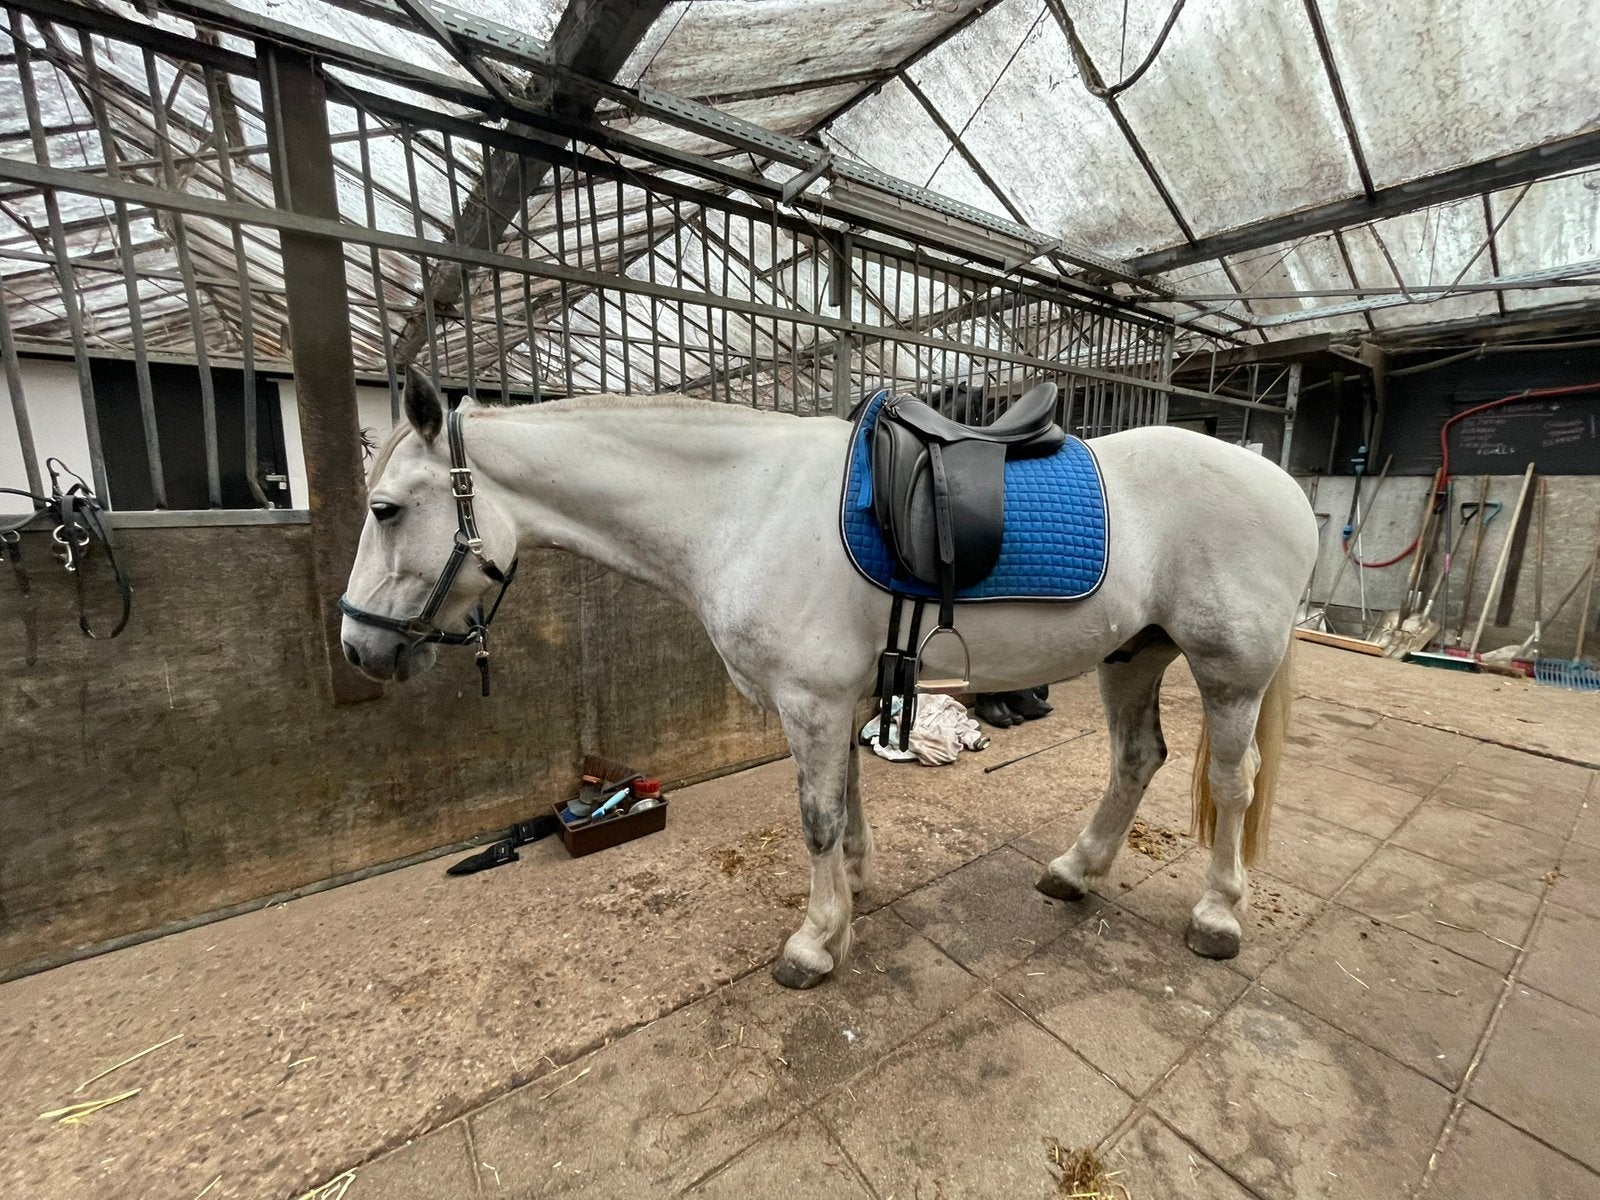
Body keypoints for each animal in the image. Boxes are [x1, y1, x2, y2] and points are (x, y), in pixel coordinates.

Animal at [339, 371, 1318, 989]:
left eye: (385, 510)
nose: (355, 647)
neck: (742, 503)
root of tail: (1282, 480)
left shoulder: (809, 701)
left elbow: (813, 818)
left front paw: (814, 942)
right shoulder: (838, 700)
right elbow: (843, 801)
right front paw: (852, 891)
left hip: (1229, 672)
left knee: (1232, 782)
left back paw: (1218, 915)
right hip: (1134, 655)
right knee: (1136, 760)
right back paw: (1076, 871)